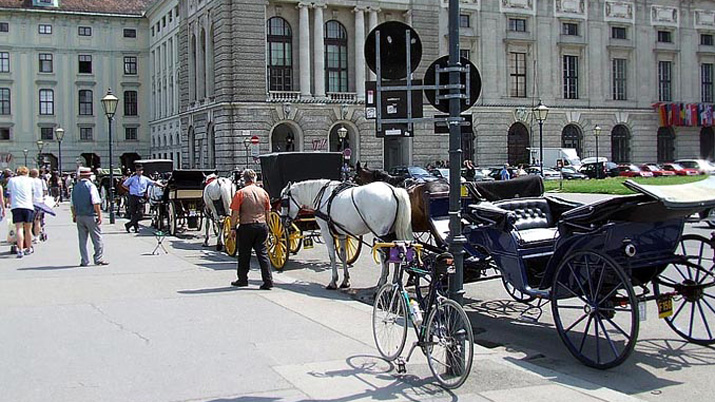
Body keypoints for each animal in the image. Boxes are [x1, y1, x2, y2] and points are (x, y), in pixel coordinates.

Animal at [282, 179, 414, 288]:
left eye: (284, 202)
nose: (284, 221)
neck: (322, 196)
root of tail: (393, 190)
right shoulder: (342, 234)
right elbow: (343, 255)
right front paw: (345, 280)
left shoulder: (326, 232)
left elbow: (332, 256)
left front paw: (333, 281)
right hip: (392, 234)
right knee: (396, 252)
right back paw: (395, 281)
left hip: (380, 234)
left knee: (385, 256)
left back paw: (382, 282)